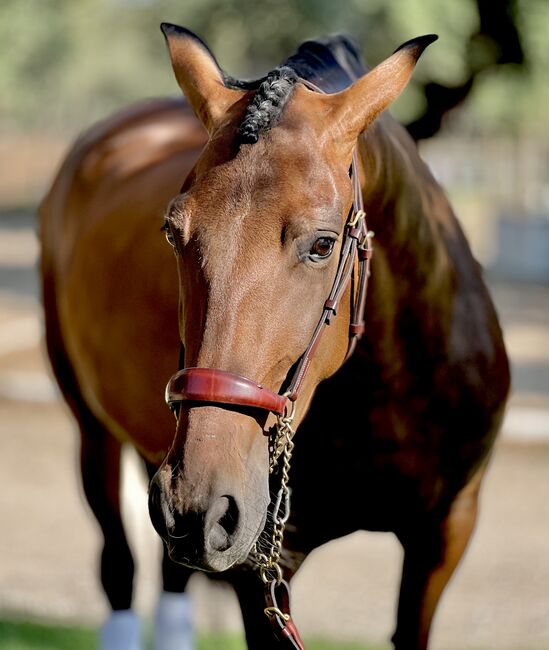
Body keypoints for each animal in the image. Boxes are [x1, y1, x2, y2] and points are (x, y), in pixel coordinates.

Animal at [39, 22, 510, 648]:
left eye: (322, 244)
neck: (388, 396)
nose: (199, 504)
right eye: (172, 232)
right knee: (118, 562)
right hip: (94, 427)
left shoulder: (447, 531)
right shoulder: (261, 567)